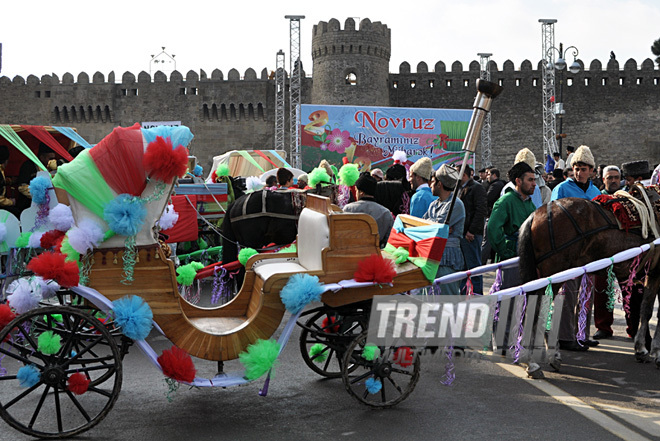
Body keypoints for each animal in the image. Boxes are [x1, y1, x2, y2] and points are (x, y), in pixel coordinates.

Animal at [520, 194, 660, 366]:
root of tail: (536, 214)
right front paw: (653, 351)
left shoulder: (651, 273)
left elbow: (645, 309)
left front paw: (642, 348)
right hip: (554, 272)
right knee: (538, 308)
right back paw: (540, 358)